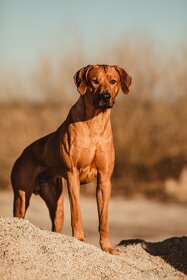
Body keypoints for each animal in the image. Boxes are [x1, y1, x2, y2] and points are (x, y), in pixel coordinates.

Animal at [11, 65, 131, 254]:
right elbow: (77, 211)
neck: (94, 123)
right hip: (21, 198)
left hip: (57, 204)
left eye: (113, 81)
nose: (105, 97)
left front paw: (107, 247)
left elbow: (103, 218)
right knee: (20, 212)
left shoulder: (105, 179)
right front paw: (80, 238)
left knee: (56, 223)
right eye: (94, 81)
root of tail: (24, 153)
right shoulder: (73, 174)